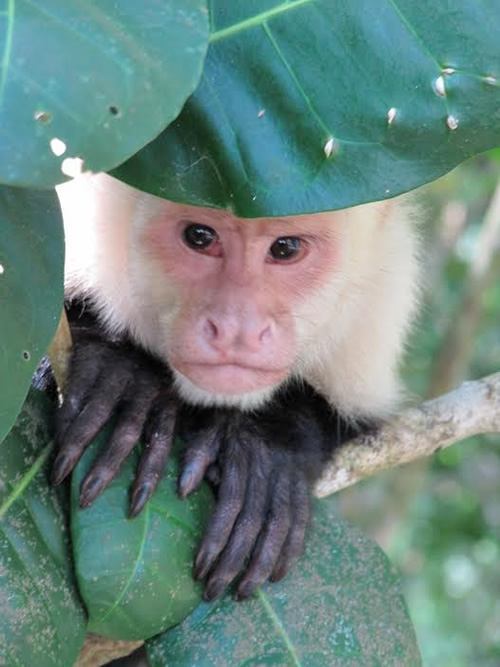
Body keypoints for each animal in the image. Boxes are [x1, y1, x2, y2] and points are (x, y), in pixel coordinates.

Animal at [51, 172, 418, 600]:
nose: (236, 327)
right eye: (199, 236)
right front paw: (124, 371)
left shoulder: (381, 299)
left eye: (286, 248)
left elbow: (345, 415)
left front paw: (267, 453)